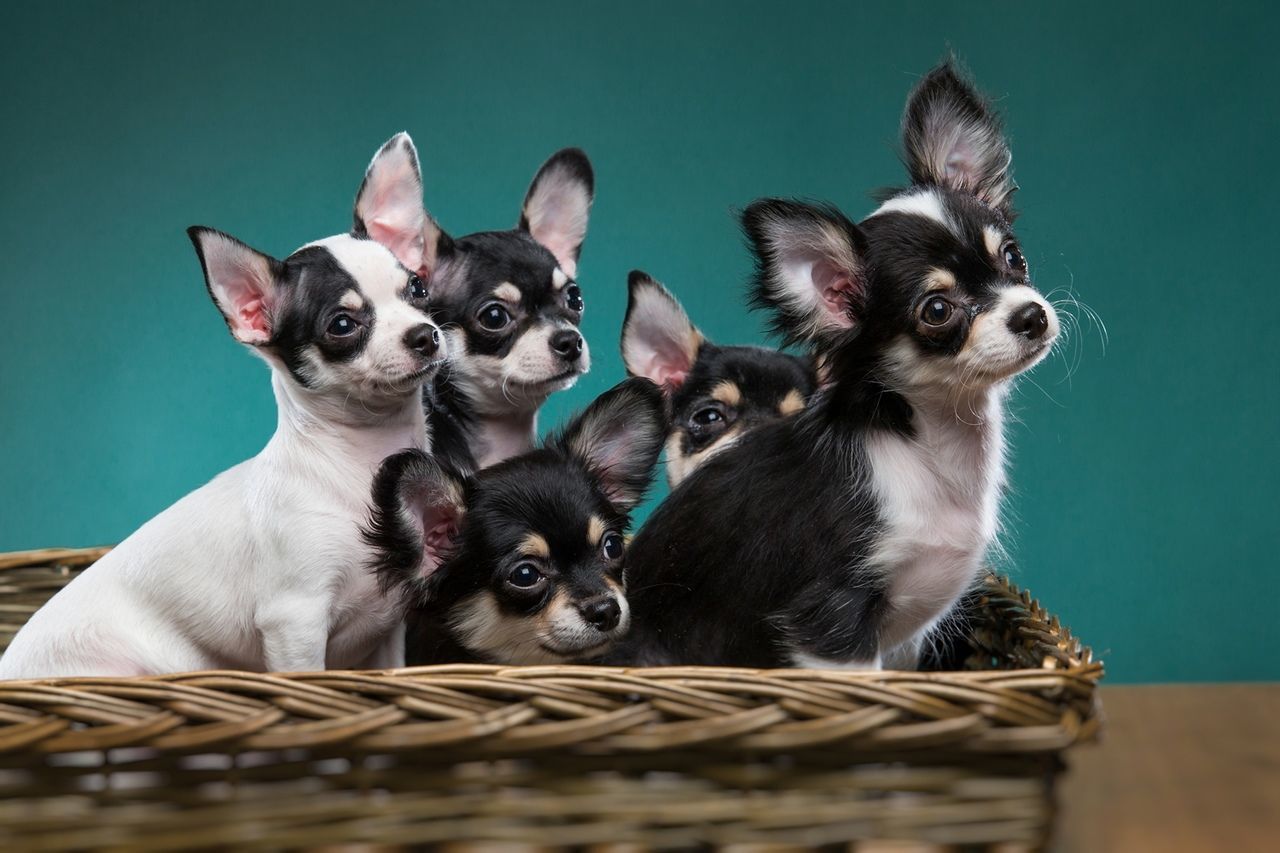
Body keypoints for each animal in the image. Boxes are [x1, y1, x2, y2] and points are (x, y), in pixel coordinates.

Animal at [0, 144, 450, 676]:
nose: (425, 335)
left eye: (418, 290)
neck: (362, 459)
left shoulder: (387, 628)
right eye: (342, 325)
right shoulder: (295, 623)